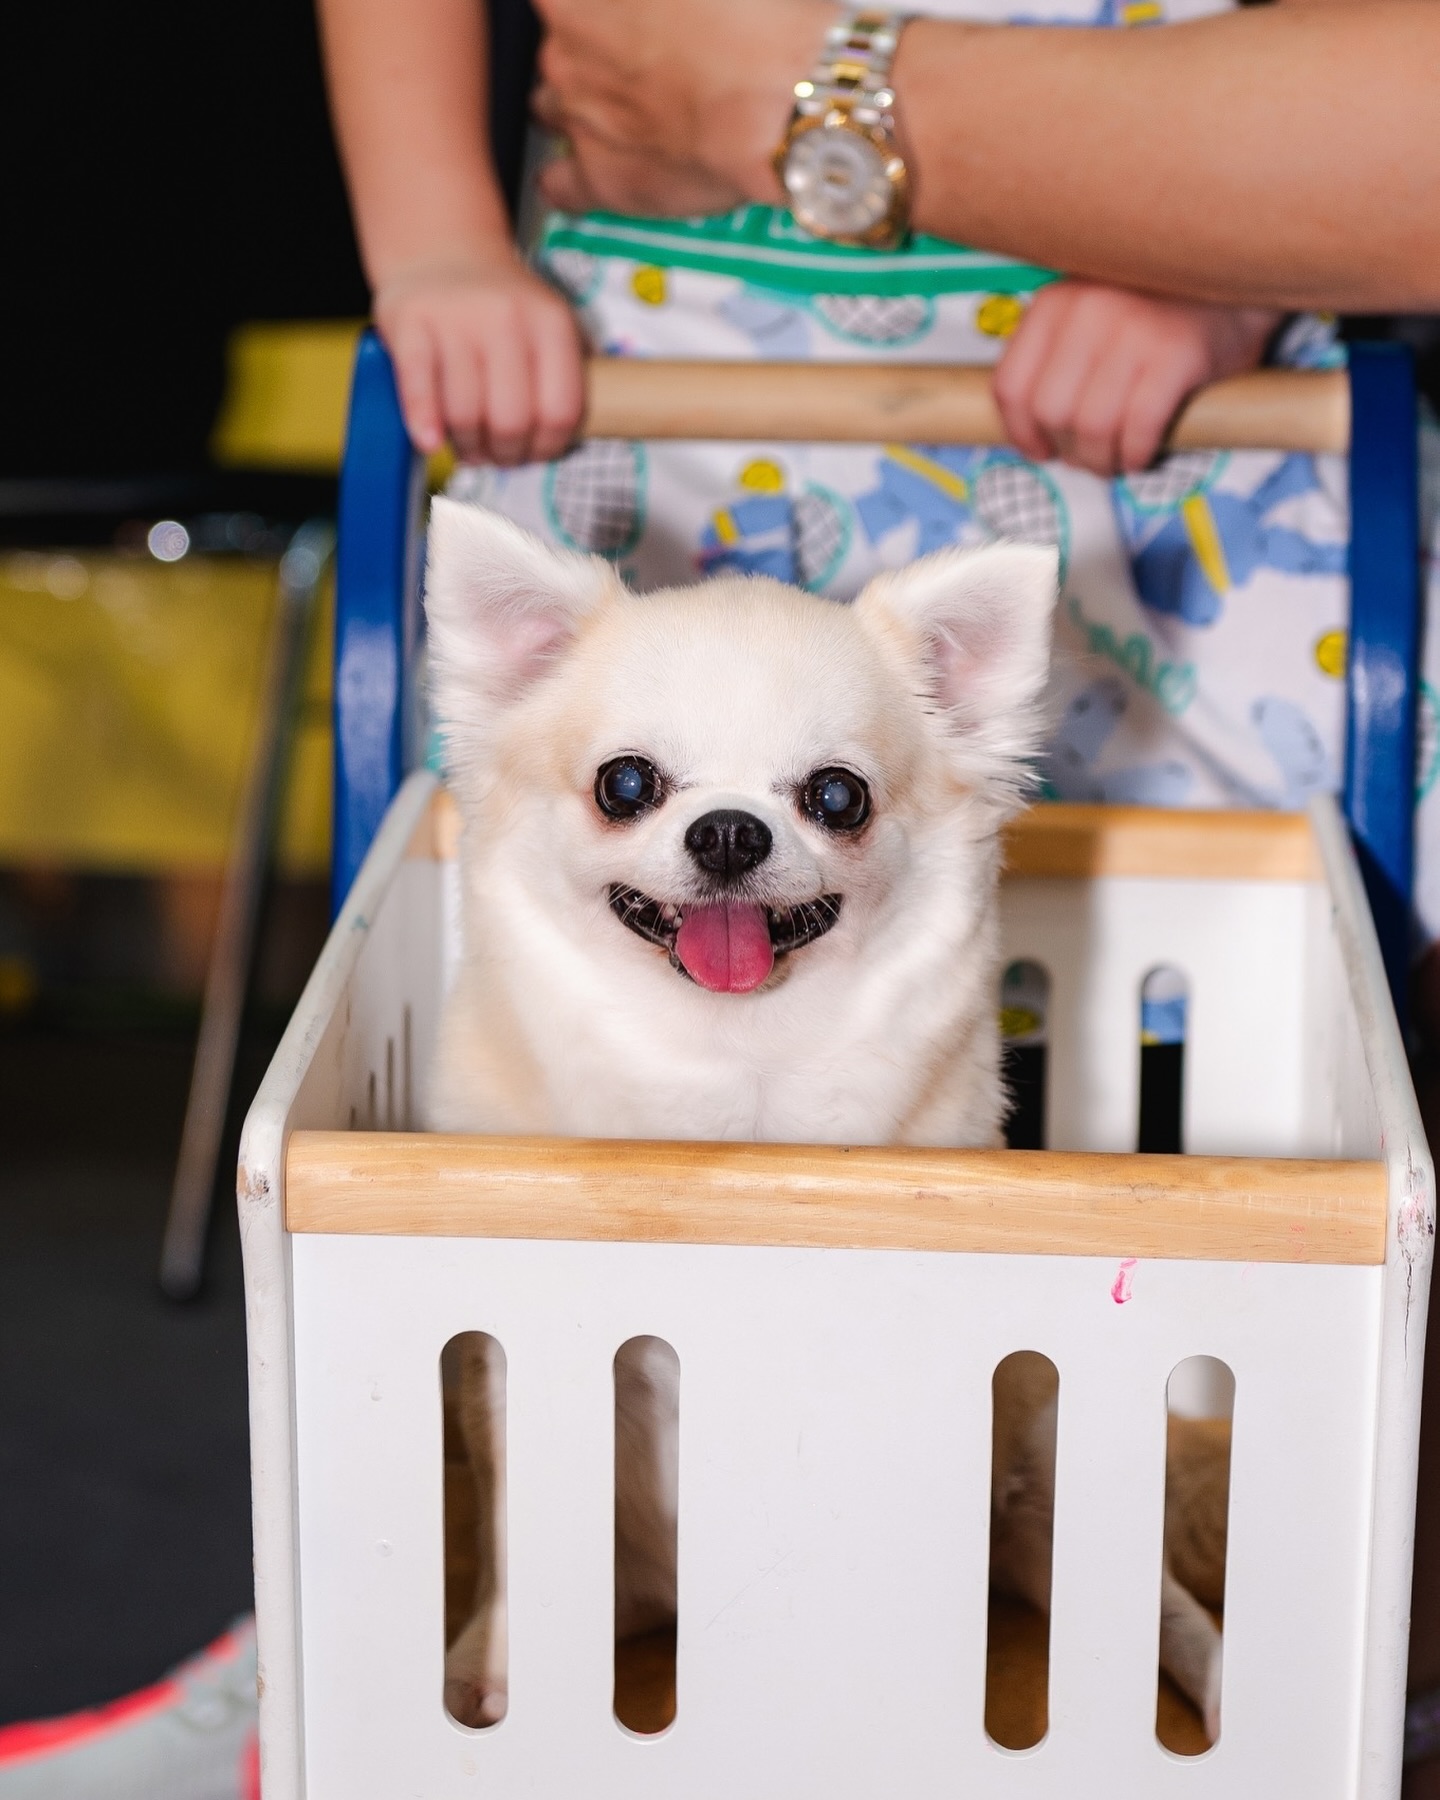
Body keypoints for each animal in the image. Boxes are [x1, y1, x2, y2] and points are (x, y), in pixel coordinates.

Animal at [421, 504, 1224, 1742]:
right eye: (626, 784)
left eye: (837, 797)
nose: (729, 832)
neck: (735, 1069)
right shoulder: (519, 1360)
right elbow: (522, 1523)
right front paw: (510, 1657)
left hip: (1044, 1443)